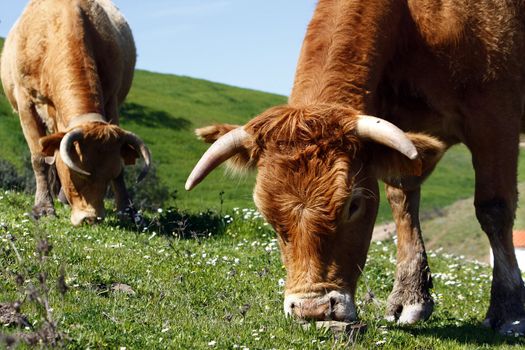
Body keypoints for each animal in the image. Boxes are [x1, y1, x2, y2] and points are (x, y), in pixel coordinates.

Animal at [1, 0, 150, 226]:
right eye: (75, 173)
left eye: (111, 173)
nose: (91, 218)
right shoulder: (25, 102)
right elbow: (39, 158)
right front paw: (43, 208)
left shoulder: (112, 100)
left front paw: (127, 210)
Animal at [187, 0, 525, 334]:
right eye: (267, 214)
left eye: (353, 204)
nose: (313, 309)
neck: (415, 24)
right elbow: (403, 203)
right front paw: (410, 297)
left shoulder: (496, 119)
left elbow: (494, 209)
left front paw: (509, 311)